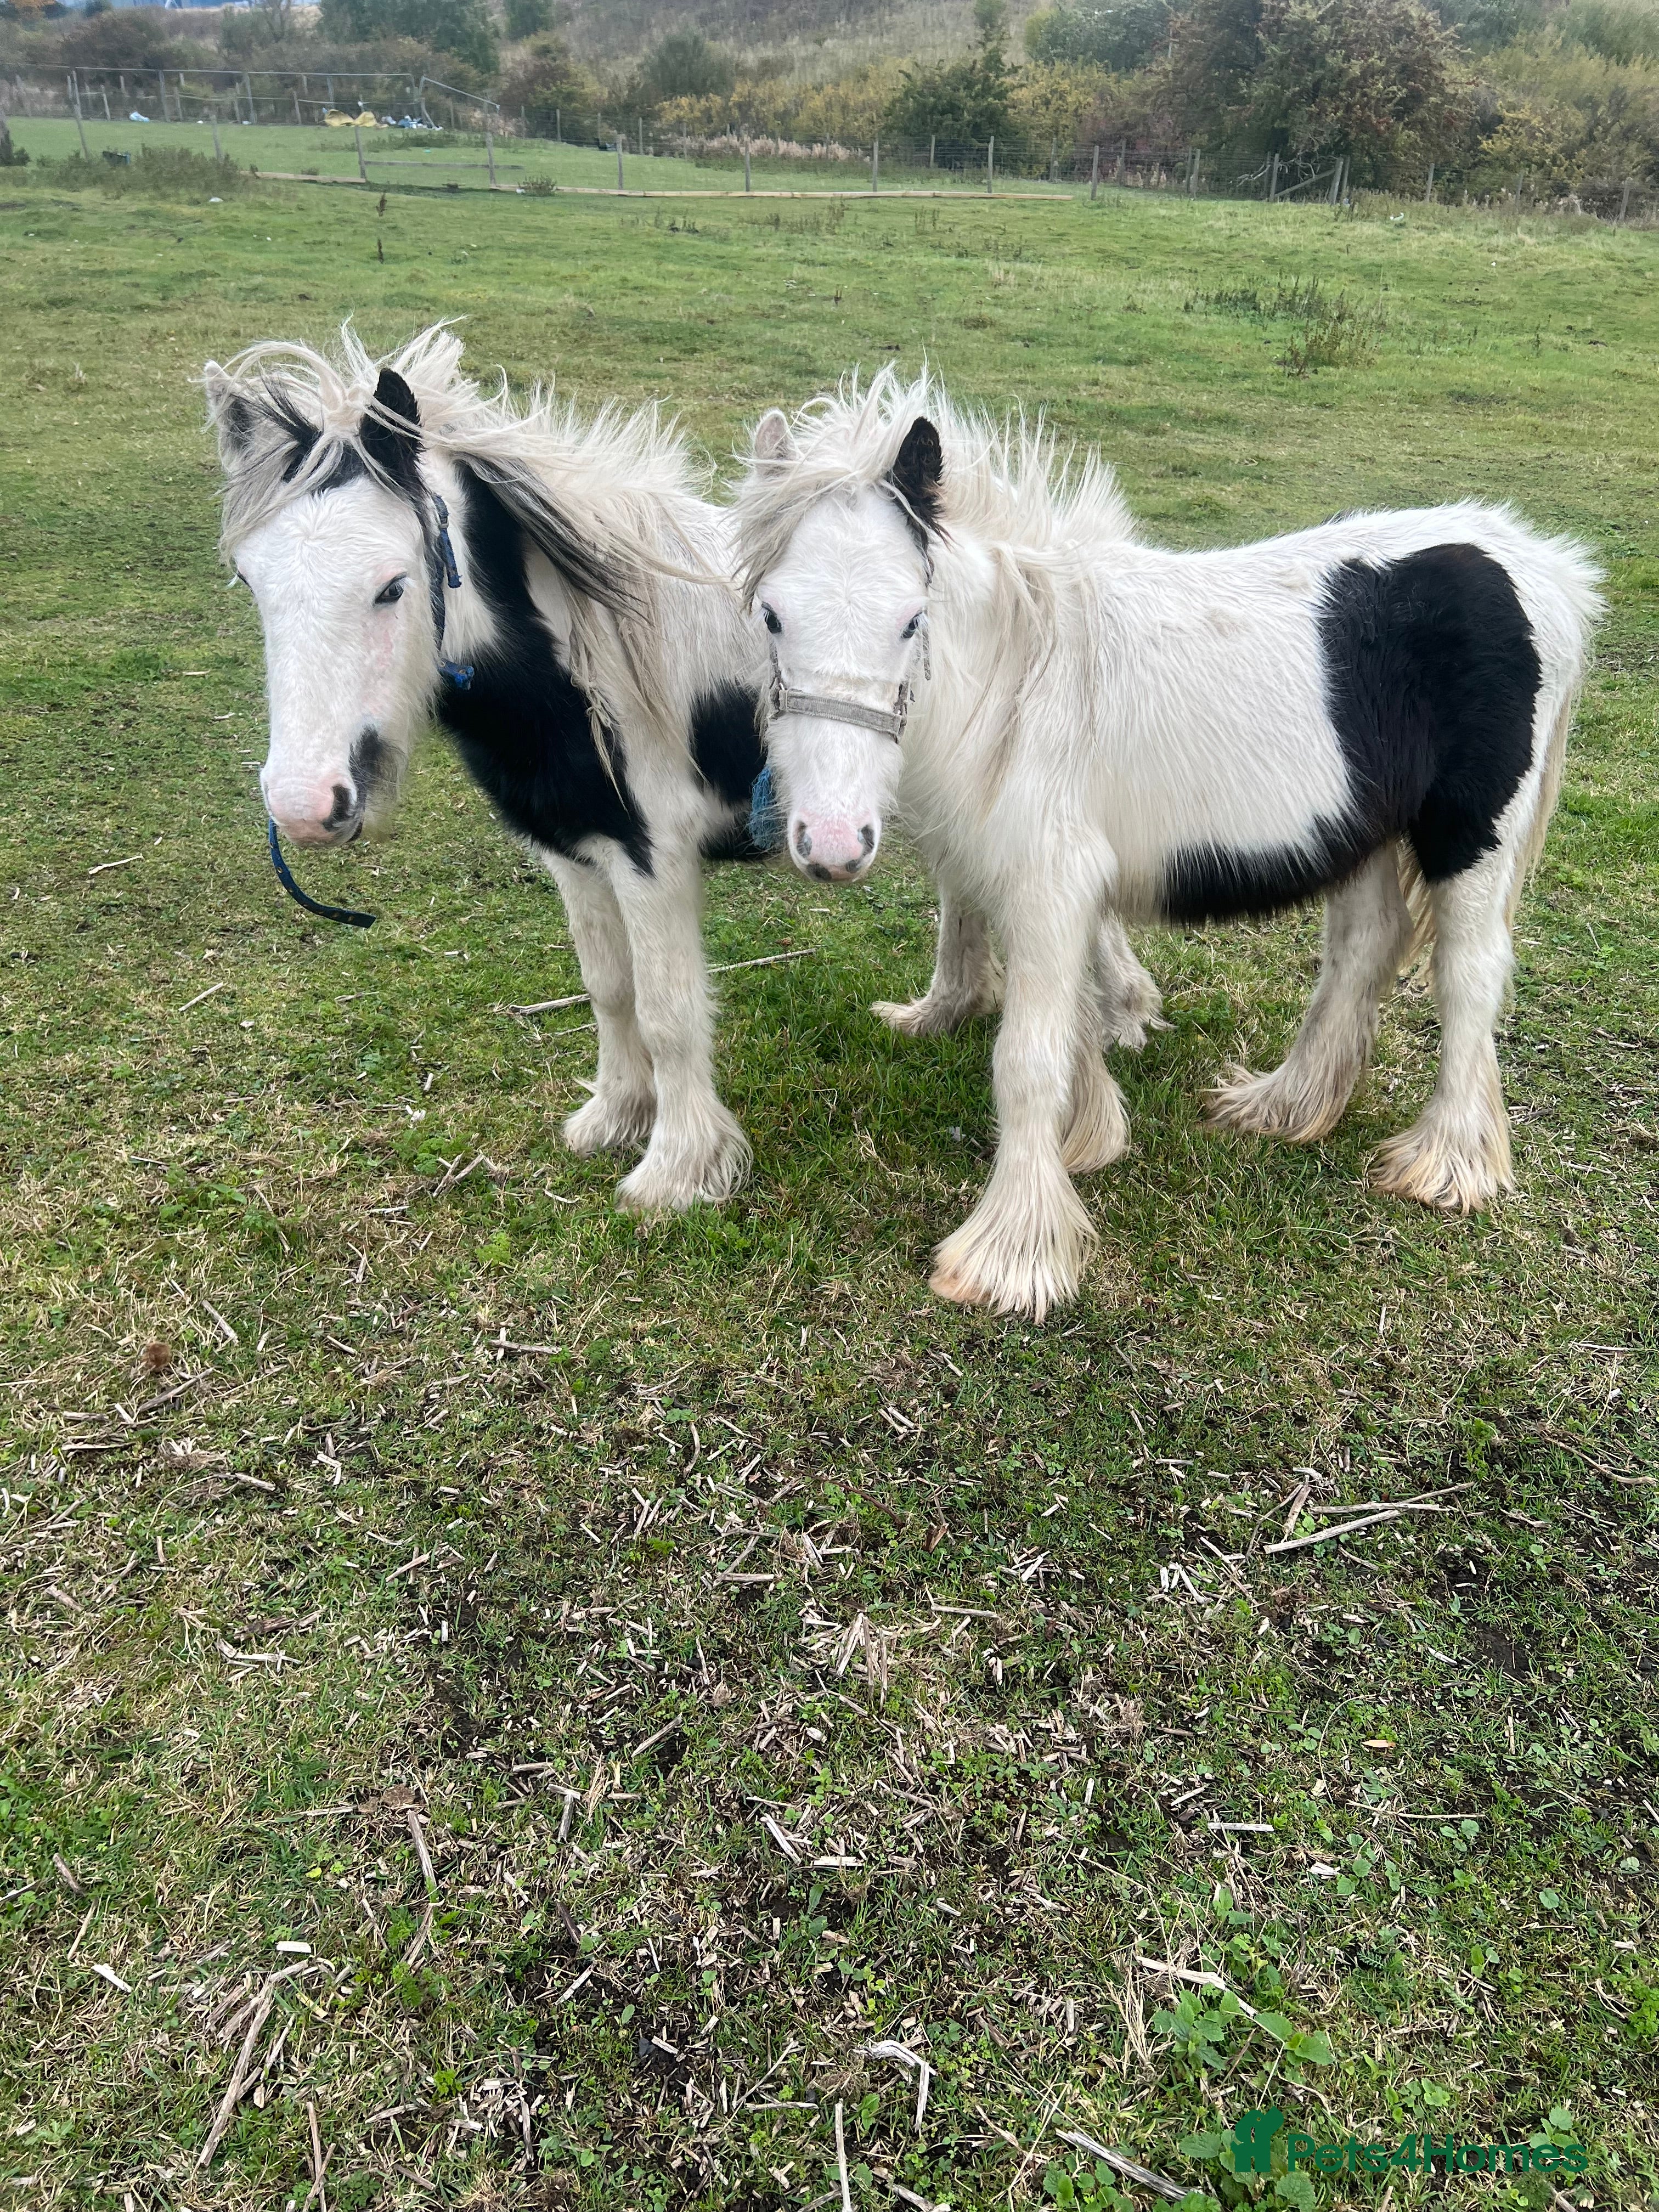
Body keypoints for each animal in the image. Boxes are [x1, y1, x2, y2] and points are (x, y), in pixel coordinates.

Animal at [204, 324, 771, 1215]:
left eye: (392, 587)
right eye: (250, 581)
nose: (305, 805)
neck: (597, 657)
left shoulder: (653, 861)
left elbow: (670, 1012)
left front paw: (677, 1172)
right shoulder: (575, 851)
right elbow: (610, 989)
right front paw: (614, 1118)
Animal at [734, 370, 1602, 1319]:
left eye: (910, 620)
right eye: (771, 616)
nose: (830, 843)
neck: (1021, 674)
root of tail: (1545, 568)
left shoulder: (1049, 881)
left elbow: (1027, 1057)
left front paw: (1011, 1255)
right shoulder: (1026, 874)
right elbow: (1054, 1004)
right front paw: (1084, 1134)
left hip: (1471, 840)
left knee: (1469, 974)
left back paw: (1446, 1163)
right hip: (1360, 832)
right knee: (1364, 948)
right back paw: (1285, 1106)